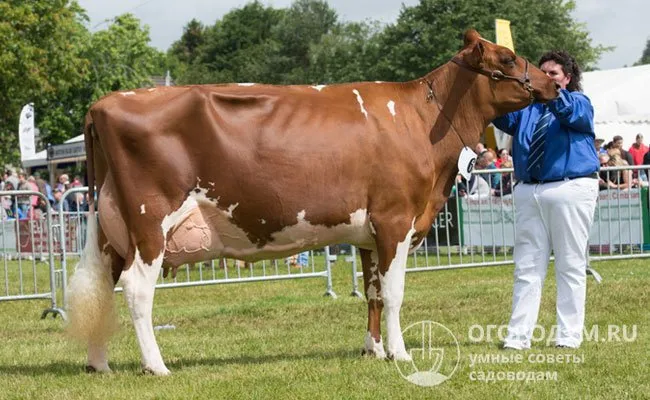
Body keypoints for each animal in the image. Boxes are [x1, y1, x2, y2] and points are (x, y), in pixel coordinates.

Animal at [64, 28, 552, 376]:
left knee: (103, 287)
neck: (421, 117)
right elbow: (394, 293)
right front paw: (400, 353)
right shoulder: (396, 220)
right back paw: (156, 366)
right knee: (136, 289)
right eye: (507, 58)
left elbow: (372, 292)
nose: (554, 80)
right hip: (151, 224)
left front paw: (373, 351)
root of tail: (104, 103)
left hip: (112, 229)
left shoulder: (368, 231)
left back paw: (99, 363)